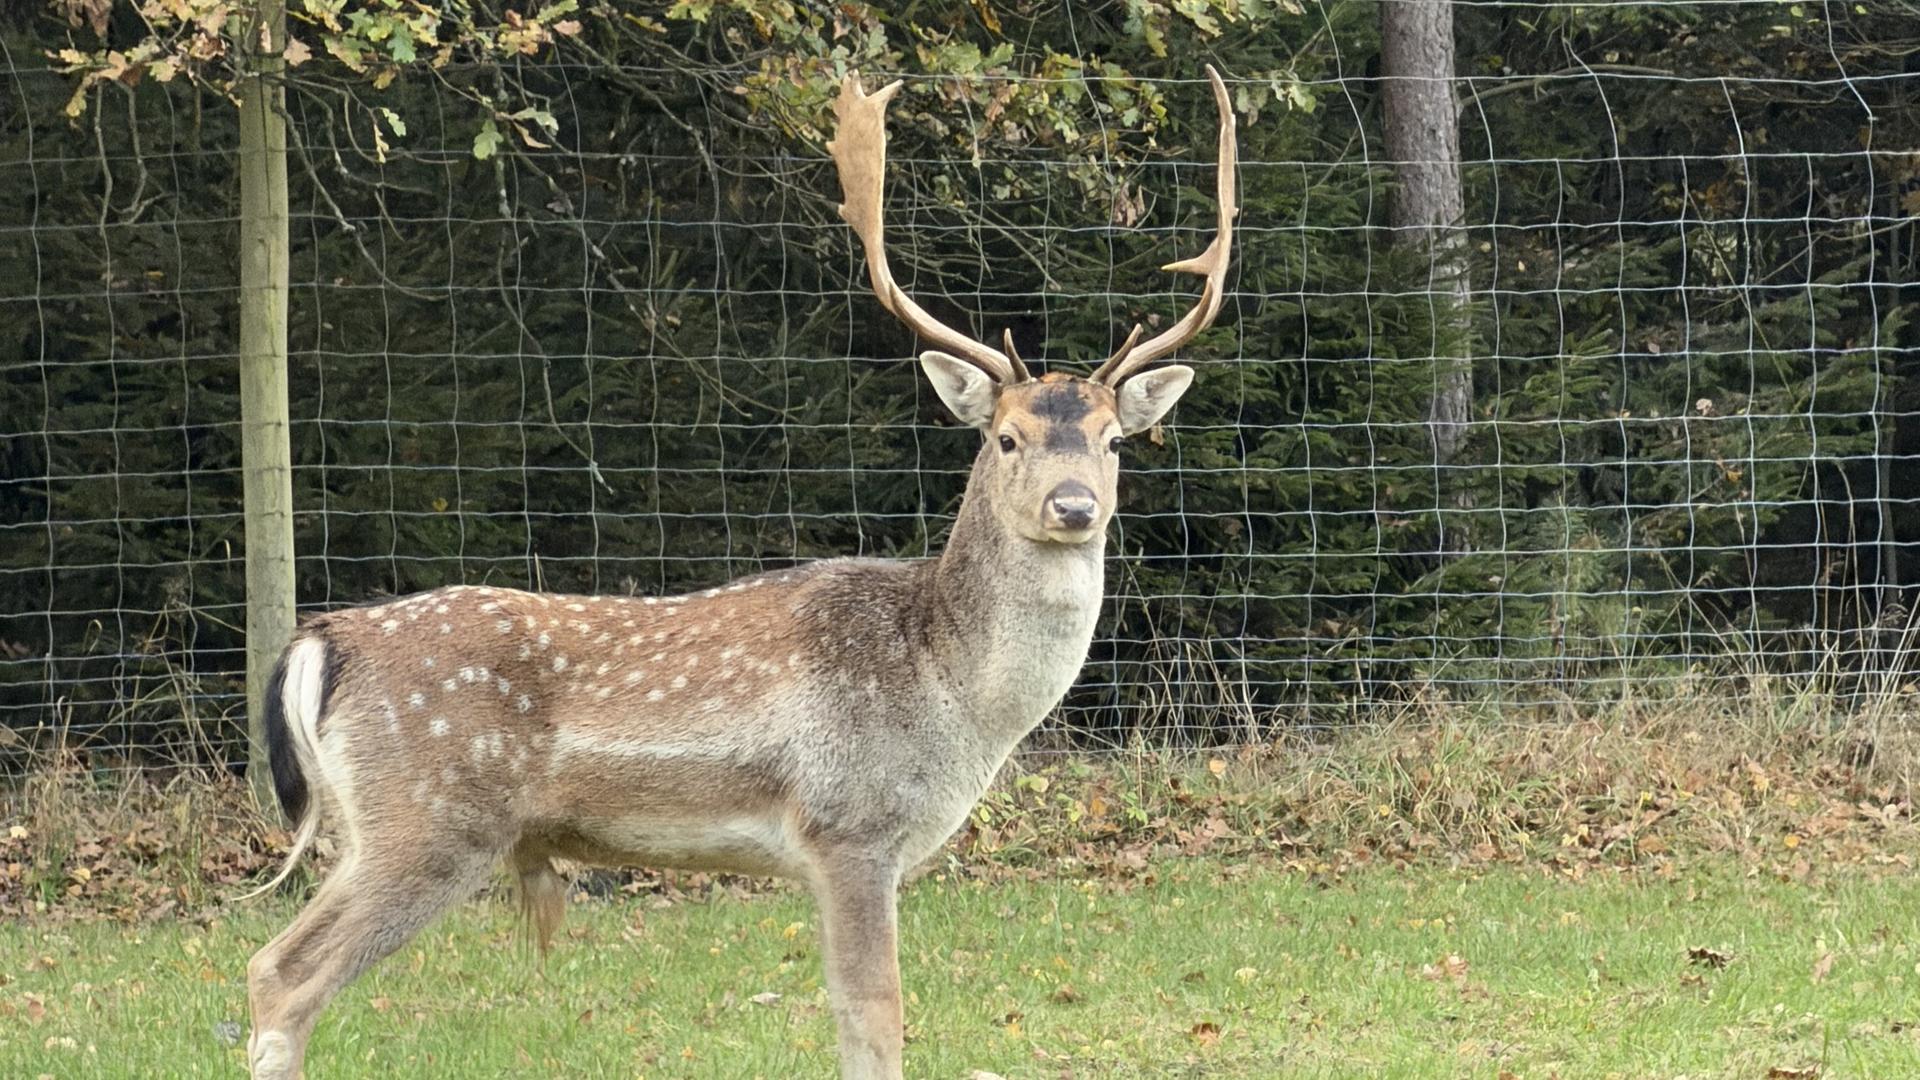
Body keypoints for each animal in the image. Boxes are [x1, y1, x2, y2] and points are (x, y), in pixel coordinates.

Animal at [242, 66, 1235, 1080]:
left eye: (1114, 440)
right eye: (1005, 438)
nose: (1074, 506)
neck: (953, 697)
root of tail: (323, 642)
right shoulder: (849, 824)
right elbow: (876, 1017)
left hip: (372, 825)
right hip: (429, 817)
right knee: (279, 971)